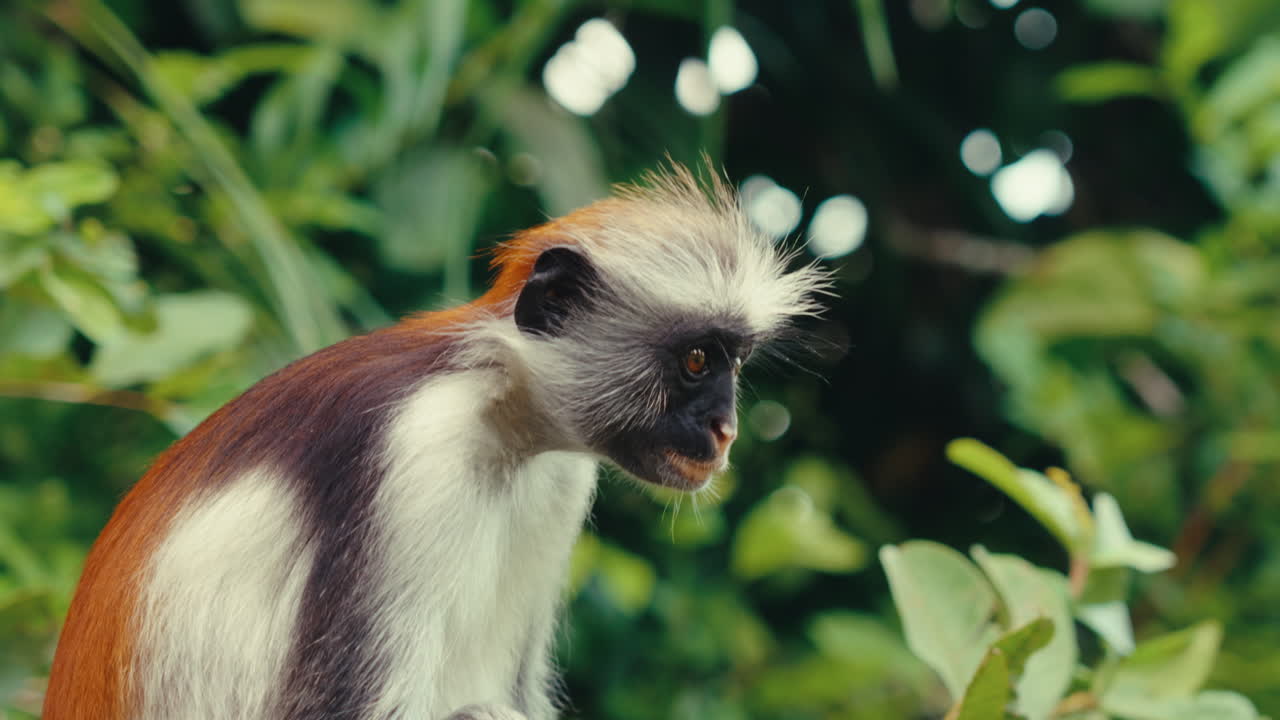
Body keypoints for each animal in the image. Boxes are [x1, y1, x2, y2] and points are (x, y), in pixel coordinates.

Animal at [43, 163, 829, 720]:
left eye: (734, 364)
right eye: (696, 361)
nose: (725, 428)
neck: (497, 412)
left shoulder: (557, 479)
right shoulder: (414, 448)